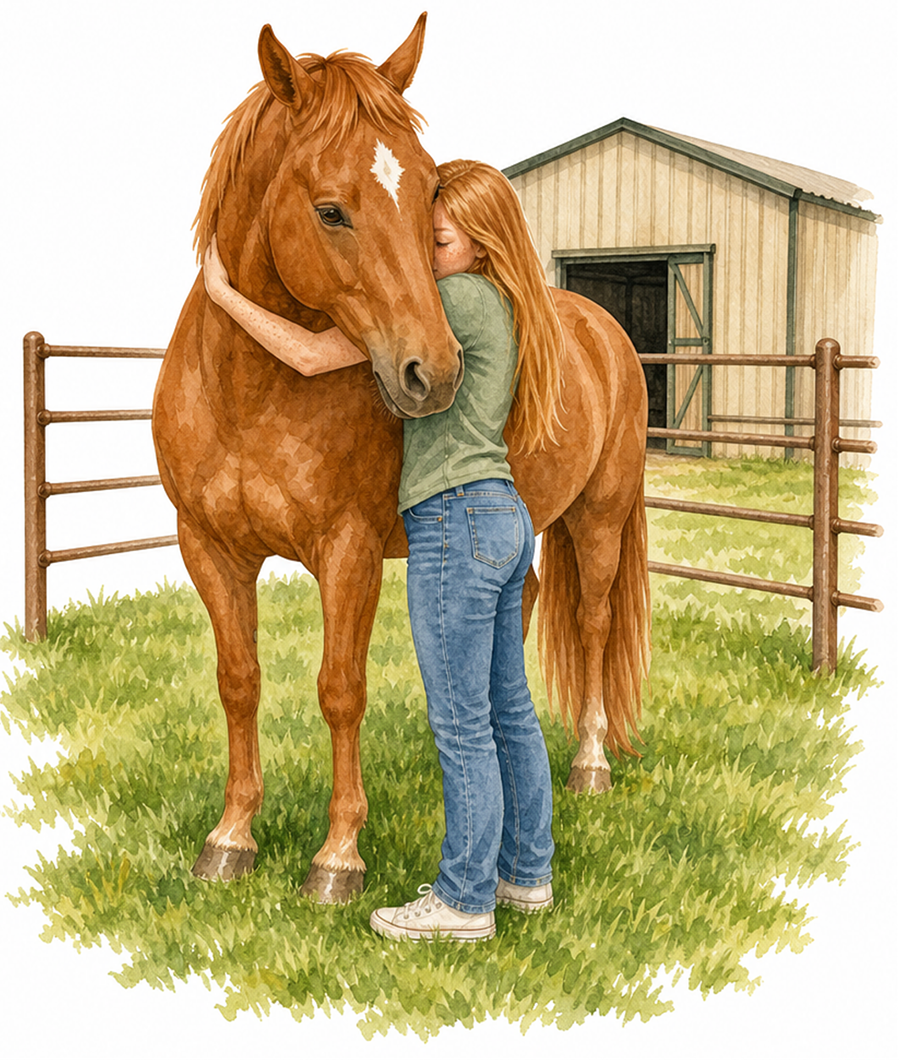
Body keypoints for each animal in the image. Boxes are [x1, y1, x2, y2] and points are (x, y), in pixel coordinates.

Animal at [152, 16, 650, 903]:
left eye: (426, 196)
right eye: (330, 210)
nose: (436, 372)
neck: (248, 393)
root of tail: (604, 328)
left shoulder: (347, 551)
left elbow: (339, 689)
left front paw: (337, 857)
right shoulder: (209, 548)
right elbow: (238, 681)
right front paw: (231, 838)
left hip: (599, 520)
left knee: (592, 625)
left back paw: (590, 764)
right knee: (522, 610)